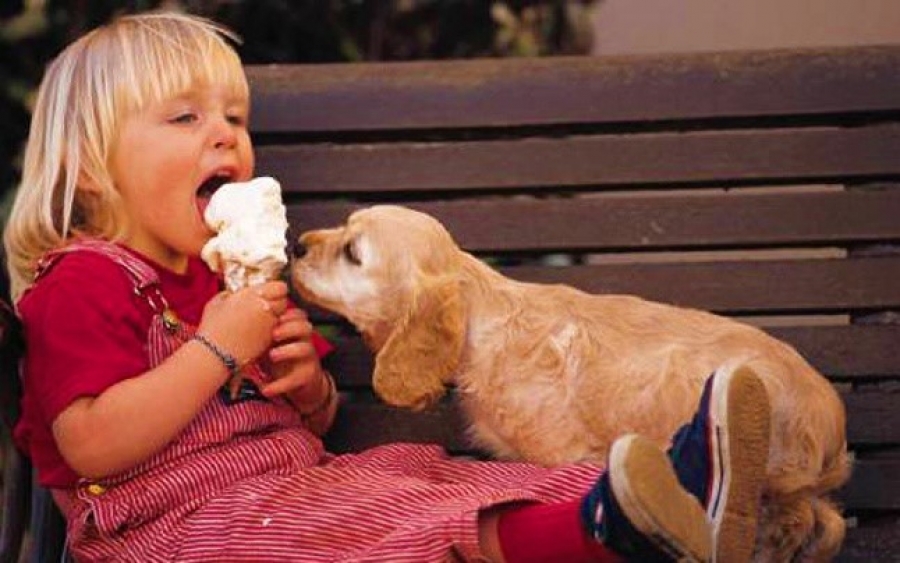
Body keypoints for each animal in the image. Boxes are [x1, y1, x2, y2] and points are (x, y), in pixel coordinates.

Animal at [294, 205, 852, 560]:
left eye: (352, 252)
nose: (297, 244)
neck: (485, 315)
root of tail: (831, 425)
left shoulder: (563, 454)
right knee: (825, 523)